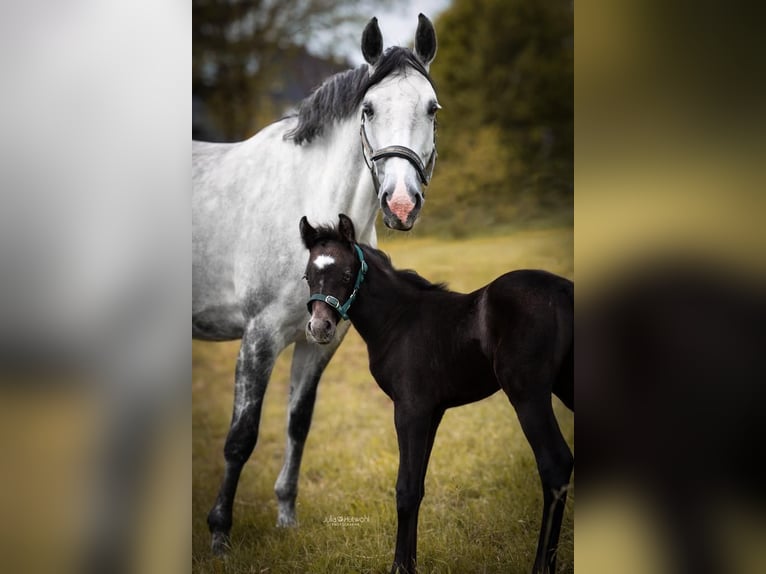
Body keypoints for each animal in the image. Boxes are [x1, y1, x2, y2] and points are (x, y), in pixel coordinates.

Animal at [193, 15, 440, 553]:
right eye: (369, 108)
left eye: (432, 108)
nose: (401, 203)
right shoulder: (259, 337)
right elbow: (241, 436)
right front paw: (220, 532)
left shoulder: (319, 339)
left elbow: (298, 423)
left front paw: (286, 516)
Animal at [299, 214, 574, 574]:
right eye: (308, 277)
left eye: (346, 275)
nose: (320, 328)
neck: (399, 320)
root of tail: (563, 290)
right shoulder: (433, 411)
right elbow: (417, 487)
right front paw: (410, 564)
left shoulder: (409, 410)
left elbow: (404, 489)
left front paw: (399, 567)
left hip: (528, 395)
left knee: (555, 465)